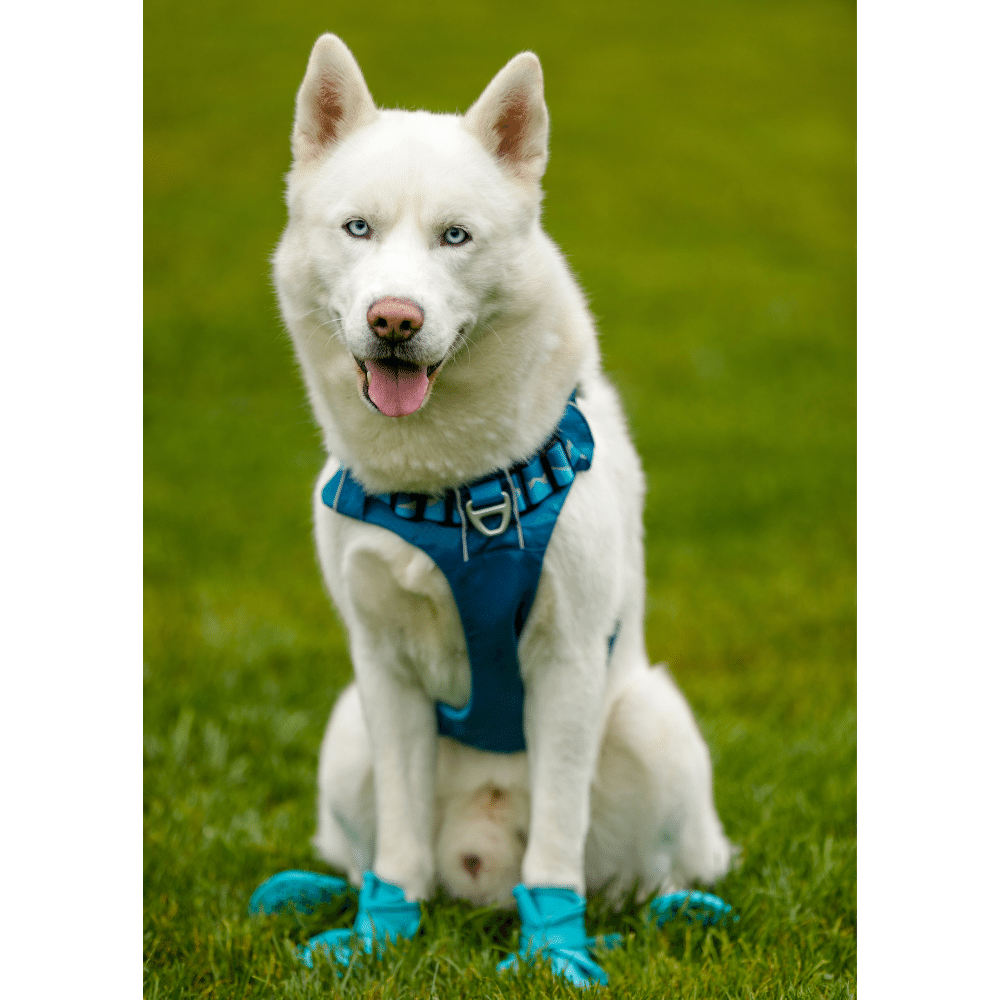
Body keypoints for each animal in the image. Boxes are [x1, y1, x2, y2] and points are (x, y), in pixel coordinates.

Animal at [270, 33, 732, 920]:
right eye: (358, 229)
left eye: (456, 236)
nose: (394, 319)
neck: (456, 487)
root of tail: (478, 870)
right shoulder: (381, 666)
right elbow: (399, 845)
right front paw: (385, 925)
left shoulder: (569, 659)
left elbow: (555, 844)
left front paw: (554, 940)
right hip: (347, 739)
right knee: (366, 850)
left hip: (652, 724)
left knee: (645, 872)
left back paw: (656, 908)